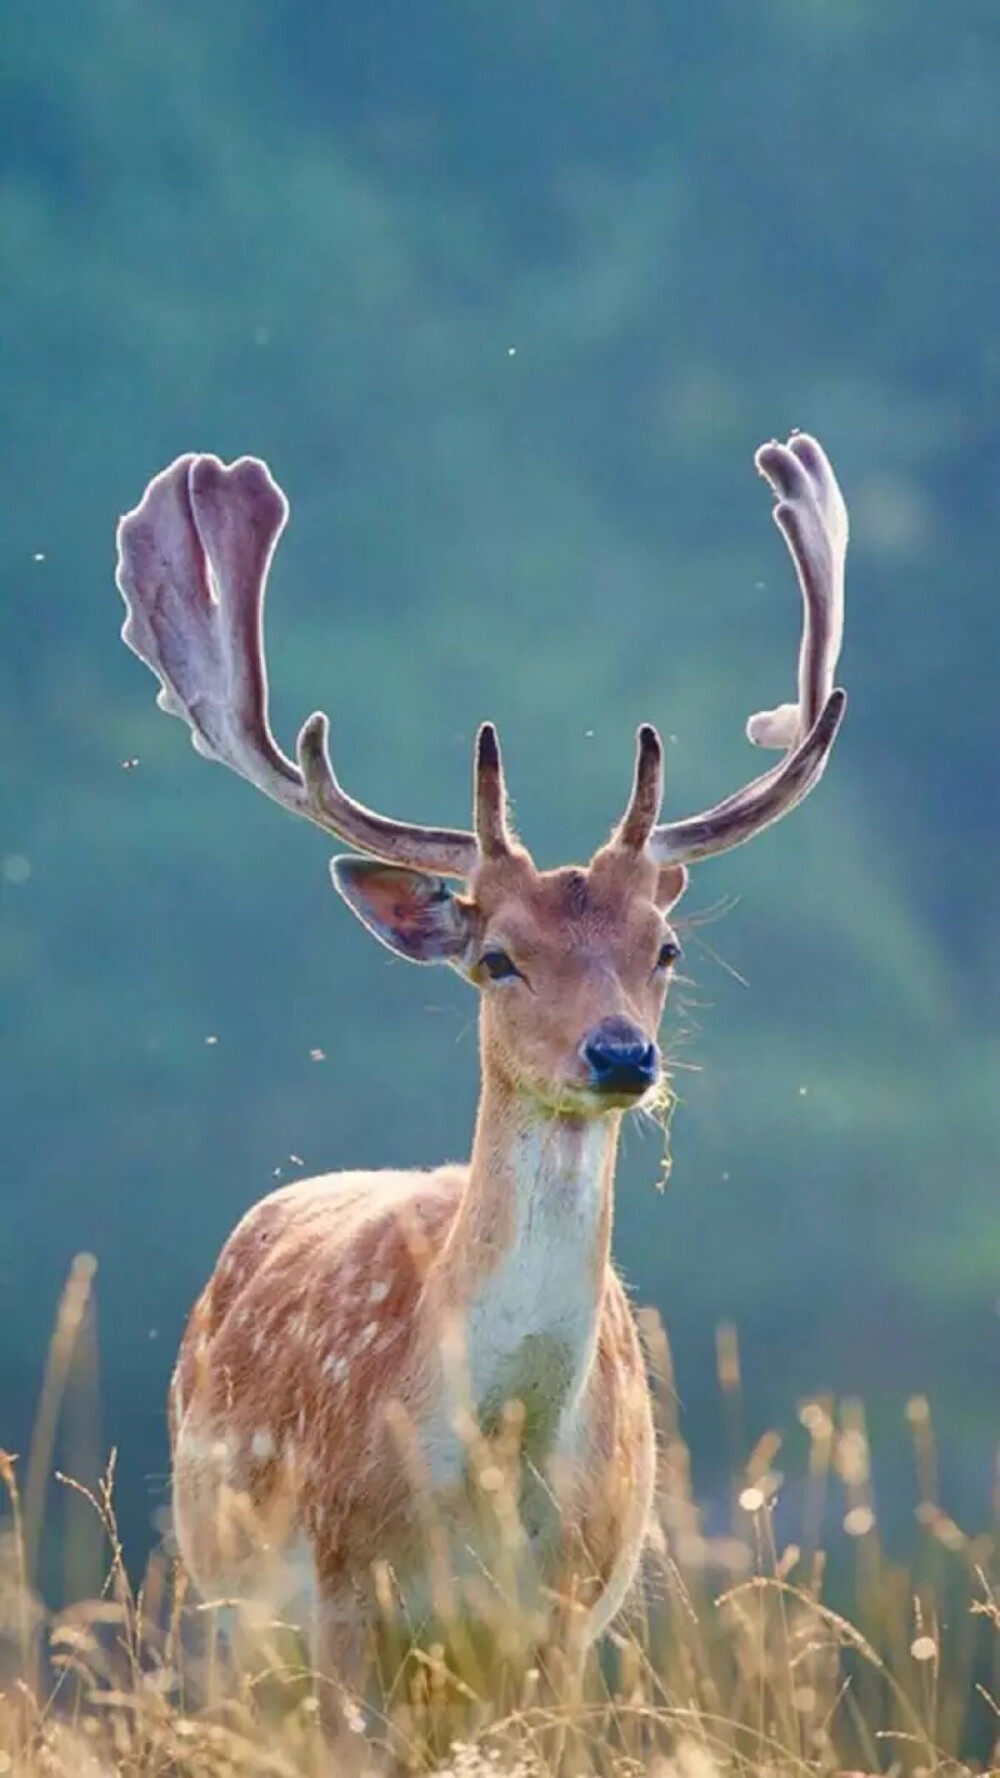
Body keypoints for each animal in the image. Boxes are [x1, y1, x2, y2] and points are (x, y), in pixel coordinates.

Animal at [114, 433, 846, 1749]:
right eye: (498, 955)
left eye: (664, 946)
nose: (620, 1054)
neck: (491, 1478)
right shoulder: (343, 1598)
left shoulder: (562, 1624)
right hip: (229, 1609)